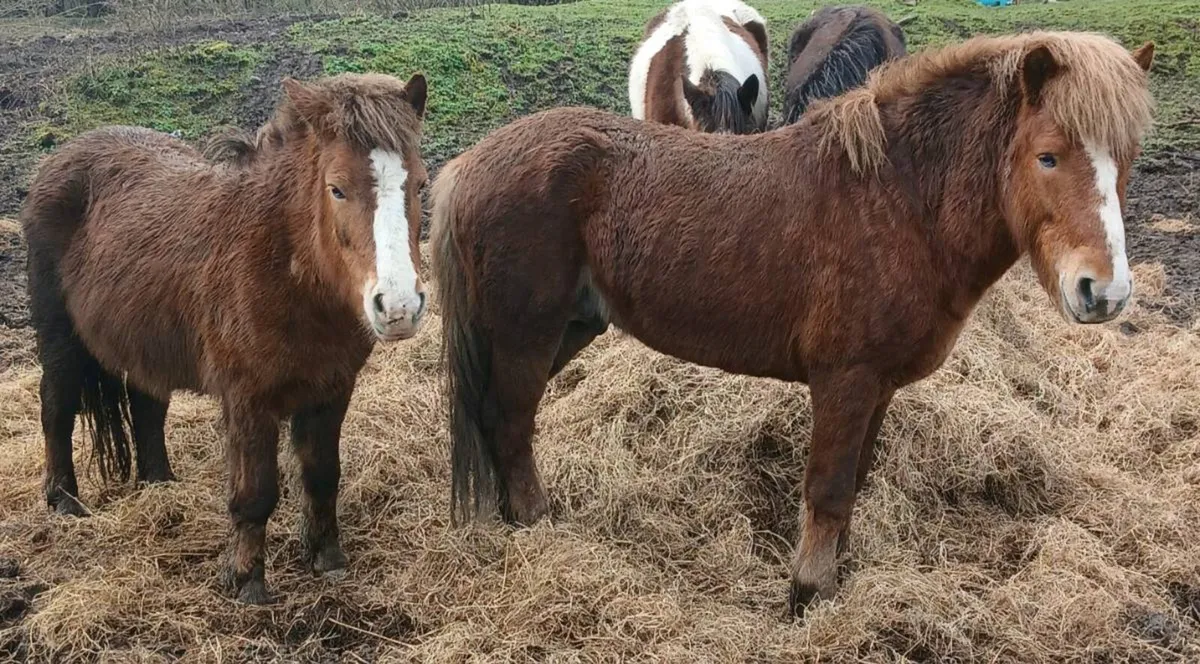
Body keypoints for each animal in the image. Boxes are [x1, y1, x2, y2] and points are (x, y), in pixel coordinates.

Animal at [20, 72, 430, 604]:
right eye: (336, 189)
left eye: (420, 184)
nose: (399, 307)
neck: (281, 263)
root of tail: (62, 156)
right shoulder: (248, 400)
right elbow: (255, 494)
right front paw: (246, 580)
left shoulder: (331, 390)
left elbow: (322, 476)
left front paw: (327, 558)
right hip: (61, 340)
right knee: (57, 407)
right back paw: (65, 500)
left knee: (146, 406)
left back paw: (160, 485)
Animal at [430, 32, 1154, 616]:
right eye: (1048, 156)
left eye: (1127, 159)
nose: (1103, 291)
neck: (898, 202)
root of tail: (470, 164)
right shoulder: (845, 381)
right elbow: (827, 490)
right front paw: (805, 594)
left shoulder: (878, 389)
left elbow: (853, 485)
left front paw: (836, 577)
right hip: (527, 333)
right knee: (510, 423)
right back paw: (536, 524)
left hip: (565, 329)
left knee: (495, 419)